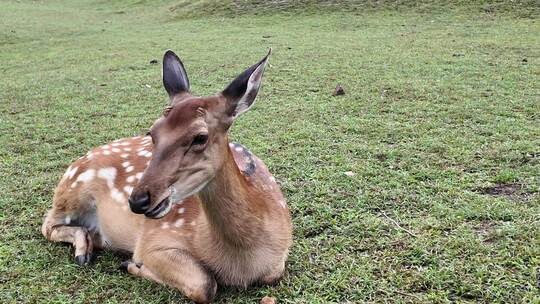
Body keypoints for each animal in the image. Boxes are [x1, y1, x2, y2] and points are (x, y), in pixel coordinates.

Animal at [42, 49, 294, 302]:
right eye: (152, 132)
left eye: (200, 137)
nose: (138, 200)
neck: (242, 262)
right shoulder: (153, 239)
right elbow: (205, 284)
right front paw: (132, 265)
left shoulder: (278, 261)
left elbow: (273, 275)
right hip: (74, 191)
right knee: (47, 223)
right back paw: (83, 250)